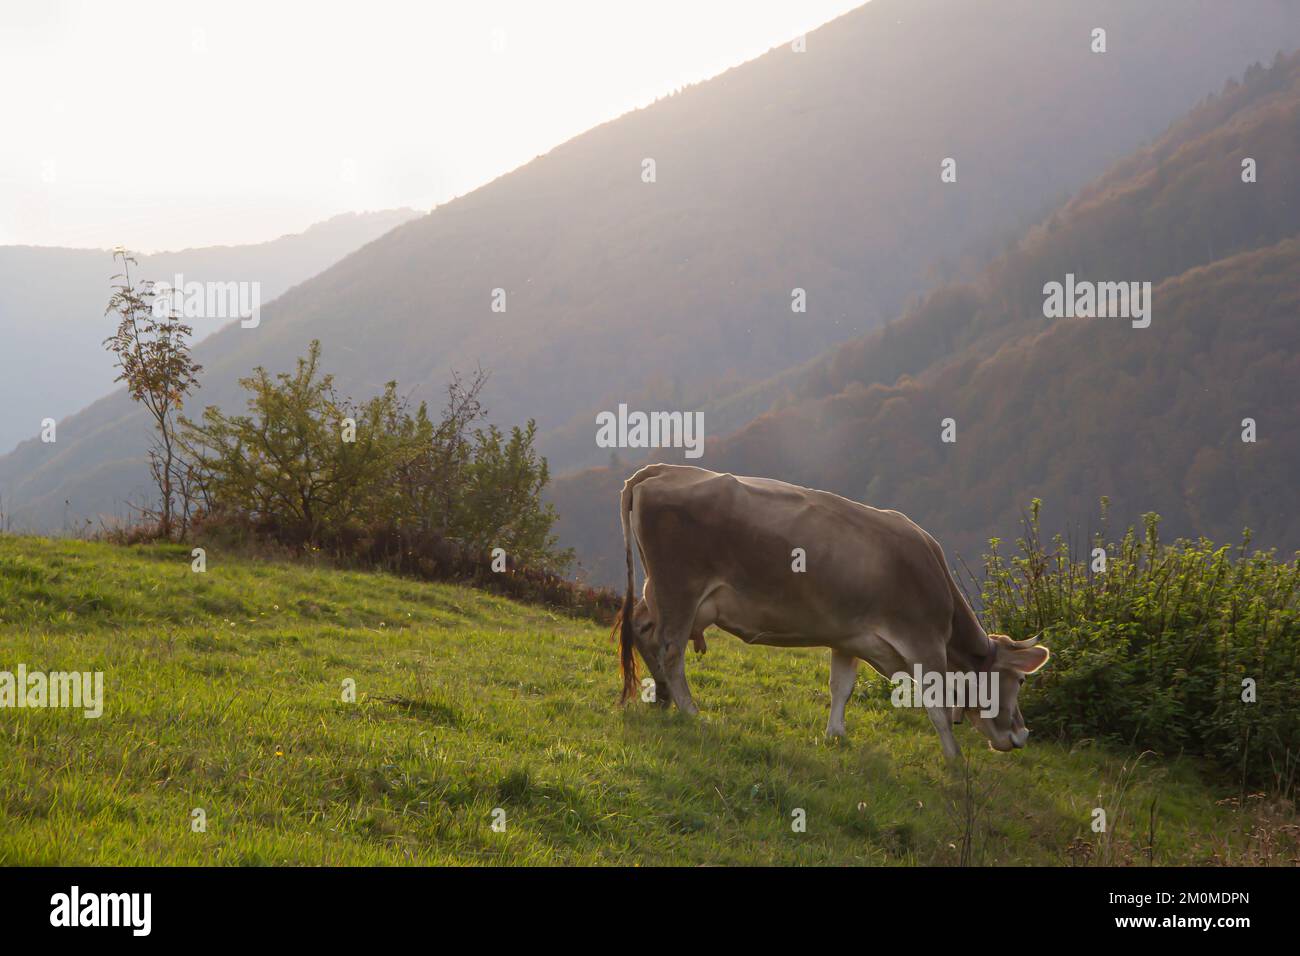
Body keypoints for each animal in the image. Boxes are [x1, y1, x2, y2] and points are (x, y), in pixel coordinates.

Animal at [613, 465, 1050, 764]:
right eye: (1020, 681)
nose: (1023, 734)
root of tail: (664, 469)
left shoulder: (849, 638)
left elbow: (842, 687)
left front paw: (835, 734)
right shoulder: (924, 642)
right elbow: (937, 704)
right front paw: (955, 758)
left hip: (660, 592)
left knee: (642, 630)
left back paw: (662, 697)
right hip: (679, 589)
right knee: (671, 650)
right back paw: (691, 711)